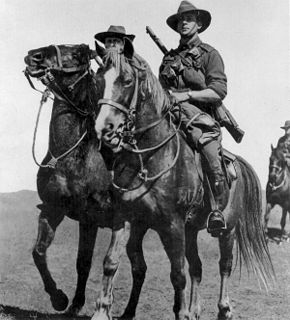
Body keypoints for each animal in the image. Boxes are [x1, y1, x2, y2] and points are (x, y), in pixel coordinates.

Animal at [24, 44, 119, 316]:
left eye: (77, 54)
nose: (33, 56)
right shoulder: (60, 211)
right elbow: (42, 253)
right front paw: (63, 301)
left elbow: (109, 263)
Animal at [92, 47, 276, 320]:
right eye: (98, 79)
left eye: (126, 80)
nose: (104, 129)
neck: (150, 157)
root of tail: (237, 162)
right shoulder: (126, 218)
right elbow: (113, 262)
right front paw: (103, 311)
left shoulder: (172, 225)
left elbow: (177, 275)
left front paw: (181, 312)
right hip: (191, 230)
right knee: (197, 268)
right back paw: (195, 310)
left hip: (227, 229)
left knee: (224, 266)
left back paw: (224, 308)